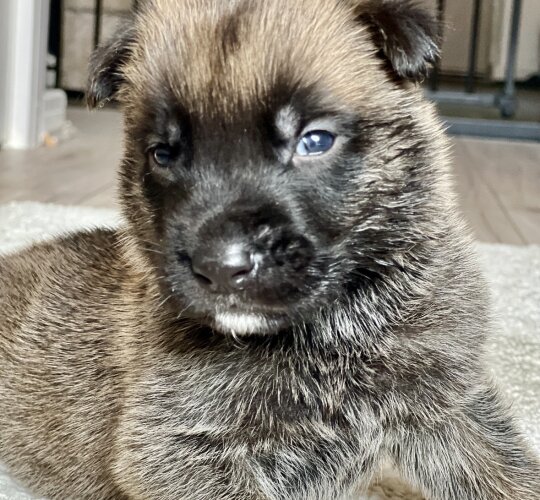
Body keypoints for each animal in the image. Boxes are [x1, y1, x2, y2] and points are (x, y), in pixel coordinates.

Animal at [1, 0, 540, 500]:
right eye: (163, 154)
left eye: (314, 140)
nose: (220, 268)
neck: (333, 332)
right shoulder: (177, 447)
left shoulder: (451, 405)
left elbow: (508, 474)